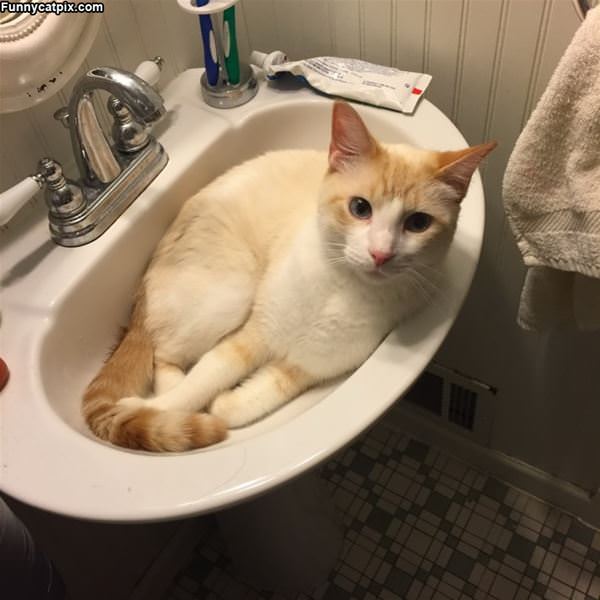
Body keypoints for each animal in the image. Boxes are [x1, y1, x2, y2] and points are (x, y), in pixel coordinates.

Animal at [82, 102, 494, 450]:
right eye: (360, 208)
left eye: (418, 223)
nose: (380, 254)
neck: (341, 288)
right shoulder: (254, 334)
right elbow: (205, 378)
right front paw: (154, 410)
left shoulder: (305, 369)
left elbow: (246, 403)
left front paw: (223, 403)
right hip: (232, 294)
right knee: (164, 354)